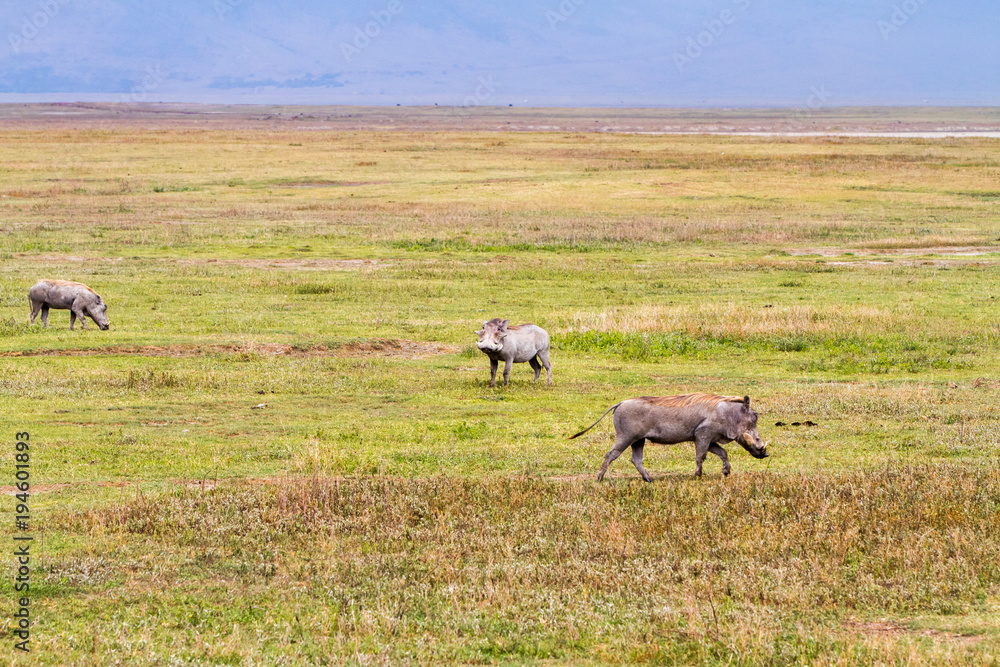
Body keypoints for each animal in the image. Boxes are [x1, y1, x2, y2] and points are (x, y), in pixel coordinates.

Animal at [570, 393, 768, 480]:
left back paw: (648, 479)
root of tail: (619, 403)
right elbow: (701, 456)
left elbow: (723, 453)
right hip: (626, 437)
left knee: (636, 459)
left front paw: (726, 472)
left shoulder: (709, 439)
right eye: (754, 417)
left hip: (638, 440)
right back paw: (599, 478)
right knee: (610, 455)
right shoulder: (703, 435)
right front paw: (698, 475)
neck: (728, 415)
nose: (765, 454)